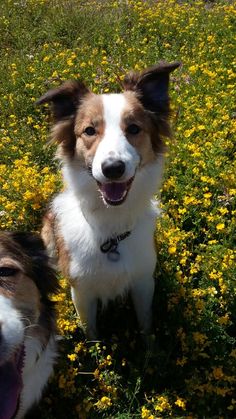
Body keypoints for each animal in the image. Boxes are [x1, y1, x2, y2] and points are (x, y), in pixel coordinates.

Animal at [37, 61, 180, 338]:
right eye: (89, 131)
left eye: (134, 128)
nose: (113, 168)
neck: (111, 229)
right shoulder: (81, 292)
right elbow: (91, 334)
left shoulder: (143, 281)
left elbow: (146, 326)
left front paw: (151, 348)